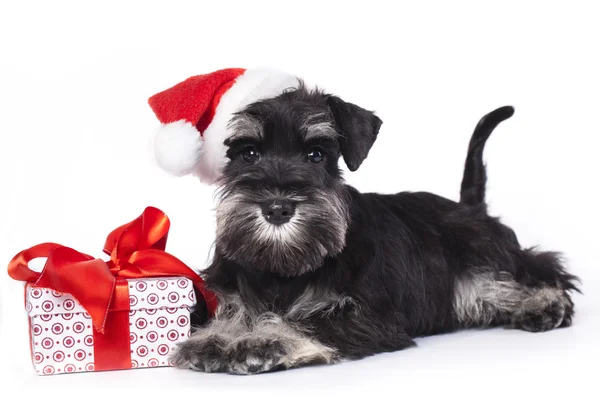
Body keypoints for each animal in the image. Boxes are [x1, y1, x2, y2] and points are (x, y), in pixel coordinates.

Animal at [171, 84, 580, 376]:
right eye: (249, 153)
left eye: (316, 154)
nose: (277, 208)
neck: (285, 268)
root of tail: (470, 207)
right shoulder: (229, 294)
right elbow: (233, 313)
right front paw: (216, 338)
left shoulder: (367, 316)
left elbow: (310, 322)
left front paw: (264, 341)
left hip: (483, 259)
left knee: (537, 271)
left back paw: (545, 306)